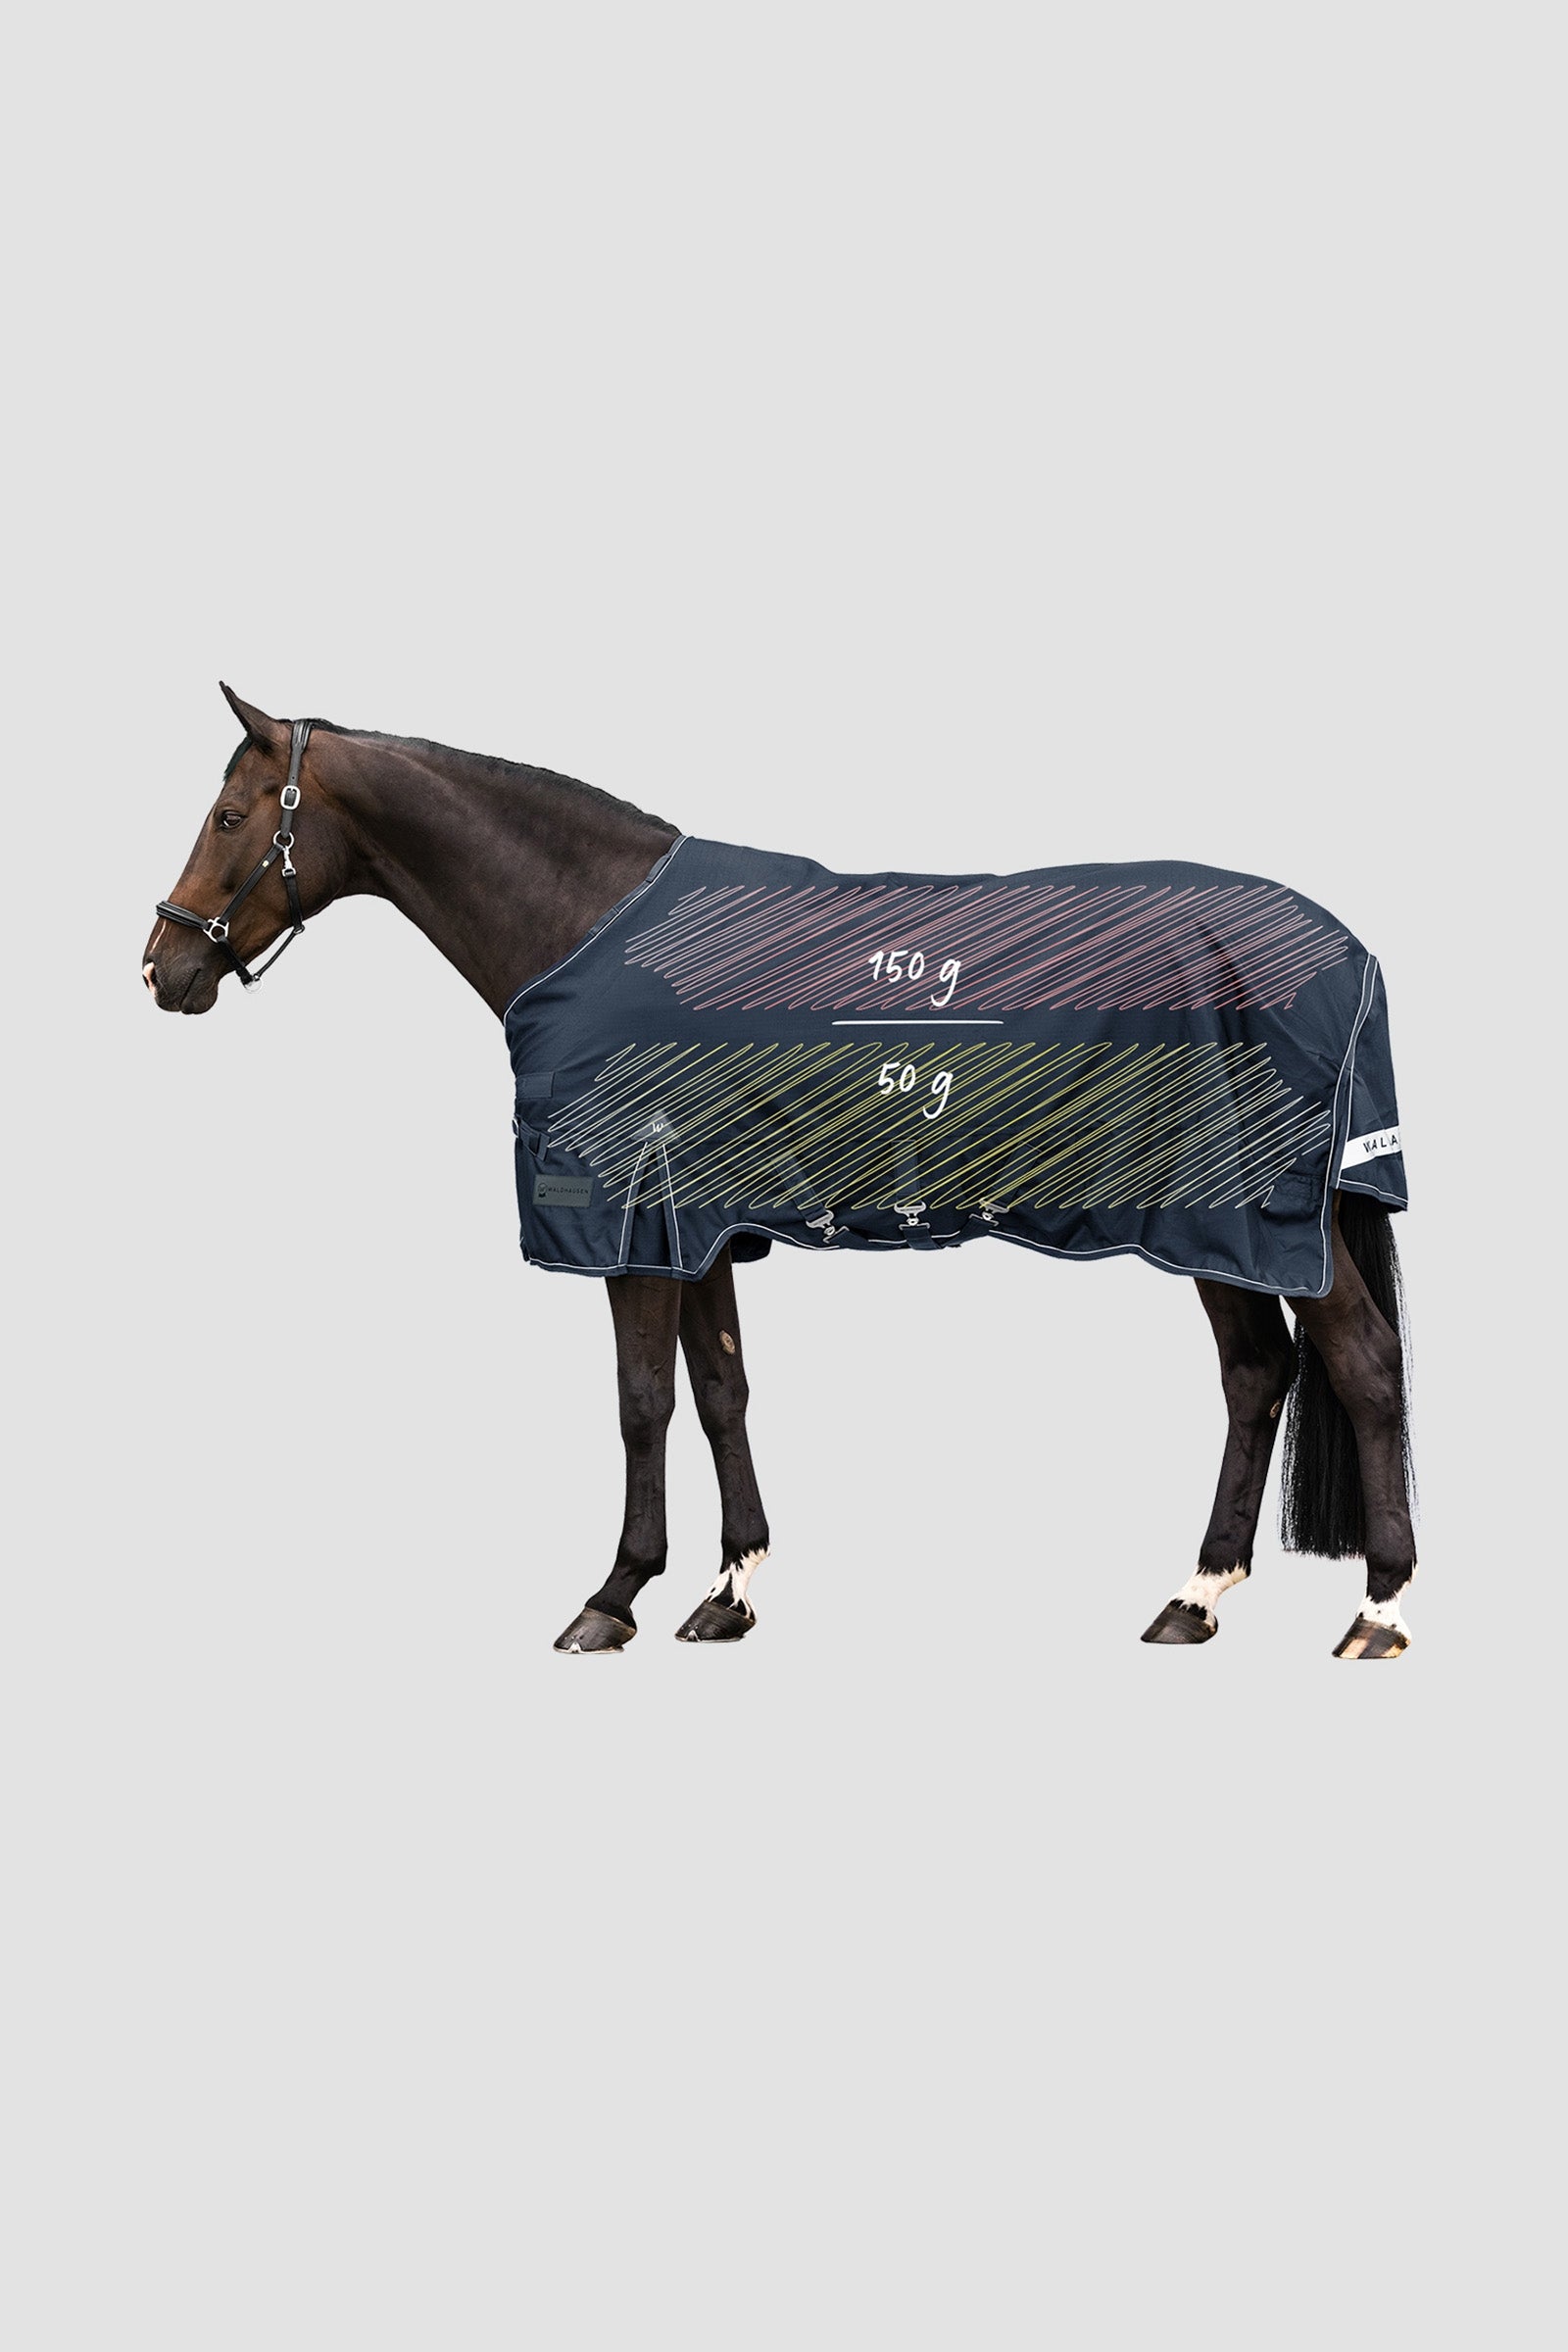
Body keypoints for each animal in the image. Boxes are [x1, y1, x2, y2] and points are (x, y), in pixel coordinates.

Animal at [144, 686, 1416, 1661]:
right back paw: (1193, 1599)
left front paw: (612, 1599)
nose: (160, 968)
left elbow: (640, 1404)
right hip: (1214, 1230)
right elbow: (719, 1393)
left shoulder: (630, 1226)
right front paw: (728, 1591)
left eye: (227, 814)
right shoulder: (696, 1225)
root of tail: (1345, 952)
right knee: (1256, 1377)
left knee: (1358, 1363)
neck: (587, 926)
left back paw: (1379, 1611)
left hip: (1258, 1222)